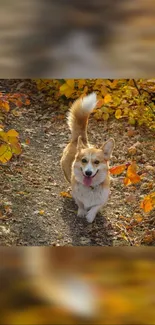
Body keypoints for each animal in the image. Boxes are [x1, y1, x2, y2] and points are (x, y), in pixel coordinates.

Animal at [61, 92, 114, 221]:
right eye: (84, 160)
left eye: (97, 162)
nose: (88, 173)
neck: (91, 187)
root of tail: (79, 139)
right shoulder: (77, 196)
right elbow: (80, 203)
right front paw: (82, 212)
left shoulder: (103, 199)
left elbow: (96, 206)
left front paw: (90, 216)